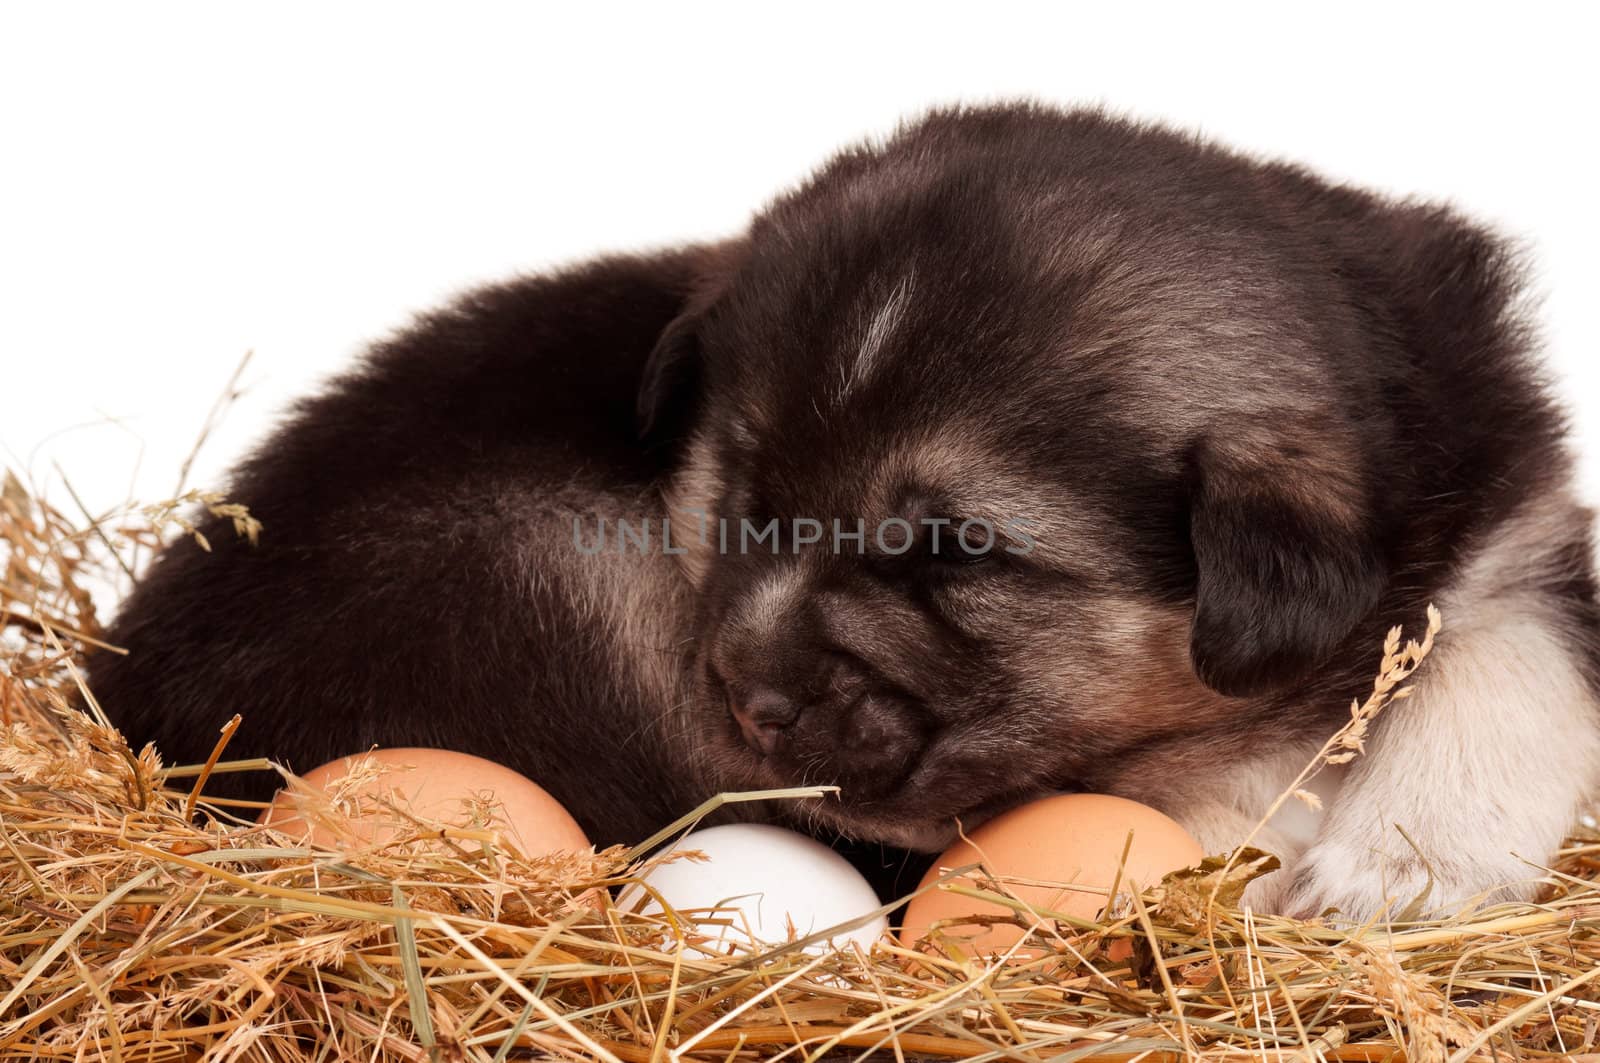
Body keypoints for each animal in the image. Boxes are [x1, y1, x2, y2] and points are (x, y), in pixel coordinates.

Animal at [90, 105, 1600, 922]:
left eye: (953, 553)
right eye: (743, 501)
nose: (747, 698)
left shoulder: (1523, 524)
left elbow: (1514, 659)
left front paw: (1406, 866)